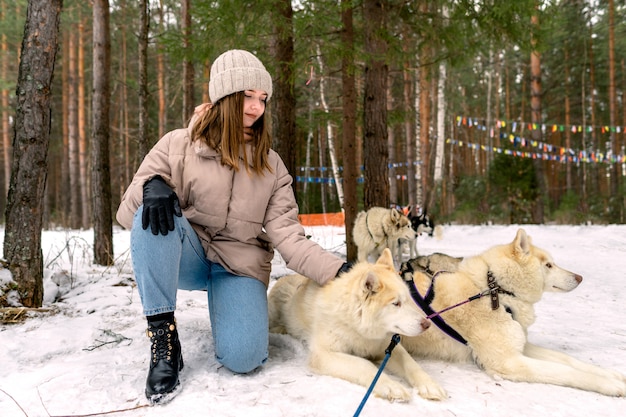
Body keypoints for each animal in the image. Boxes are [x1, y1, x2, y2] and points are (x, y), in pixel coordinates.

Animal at [266, 249, 446, 402]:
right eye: (396, 303)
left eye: (409, 299)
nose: (427, 324)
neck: (358, 327)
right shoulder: (323, 354)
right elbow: (364, 364)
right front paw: (390, 385)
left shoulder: (387, 347)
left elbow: (411, 363)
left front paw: (429, 385)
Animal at [400, 229, 624, 394]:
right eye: (548, 265)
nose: (579, 277)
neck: (495, 290)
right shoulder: (510, 361)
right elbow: (566, 371)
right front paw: (612, 386)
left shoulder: (521, 346)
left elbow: (568, 360)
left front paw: (613, 375)